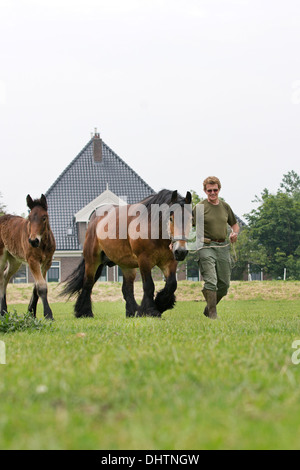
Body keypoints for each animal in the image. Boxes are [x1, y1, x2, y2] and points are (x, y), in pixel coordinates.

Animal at [61, 190, 192, 320]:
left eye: (190, 219)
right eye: (170, 218)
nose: (181, 251)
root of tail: (94, 219)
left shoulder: (169, 261)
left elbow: (171, 284)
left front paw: (160, 304)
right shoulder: (144, 260)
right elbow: (149, 285)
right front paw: (151, 310)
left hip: (126, 266)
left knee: (127, 289)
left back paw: (132, 311)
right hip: (92, 260)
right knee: (88, 283)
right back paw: (85, 312)